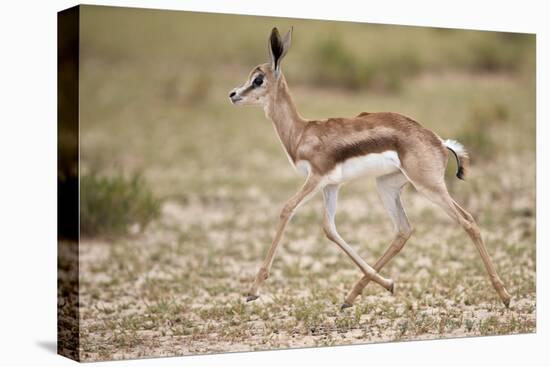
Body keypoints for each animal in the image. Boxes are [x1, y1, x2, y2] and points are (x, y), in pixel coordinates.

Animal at [229, 28, 512, 310]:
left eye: (258, 79)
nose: (232, 94)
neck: (301, 133)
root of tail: (439, 142)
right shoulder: (331, 185)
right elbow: (329, 229)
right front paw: (387, 284)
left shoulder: (316, 179)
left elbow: (287, 209)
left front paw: (253, 290)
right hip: (386, 185)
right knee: (403, 230)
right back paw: (355, 295)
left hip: (429, 187)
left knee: (468, 221)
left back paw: (505, 296)